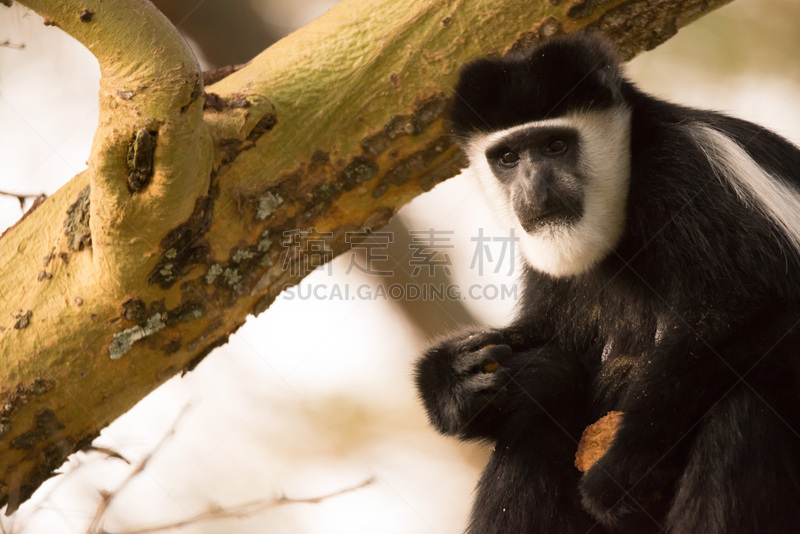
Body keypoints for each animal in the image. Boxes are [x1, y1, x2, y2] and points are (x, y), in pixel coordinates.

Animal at [416, 34, 800, 534]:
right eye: (508, 157)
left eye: (556, 144)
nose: (532, 185)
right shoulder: (547, 262)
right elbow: (548, 339)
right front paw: (453, 380)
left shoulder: (696, 174)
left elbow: (743, 315)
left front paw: (624, 472)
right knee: (540, 400)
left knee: (745, 403)